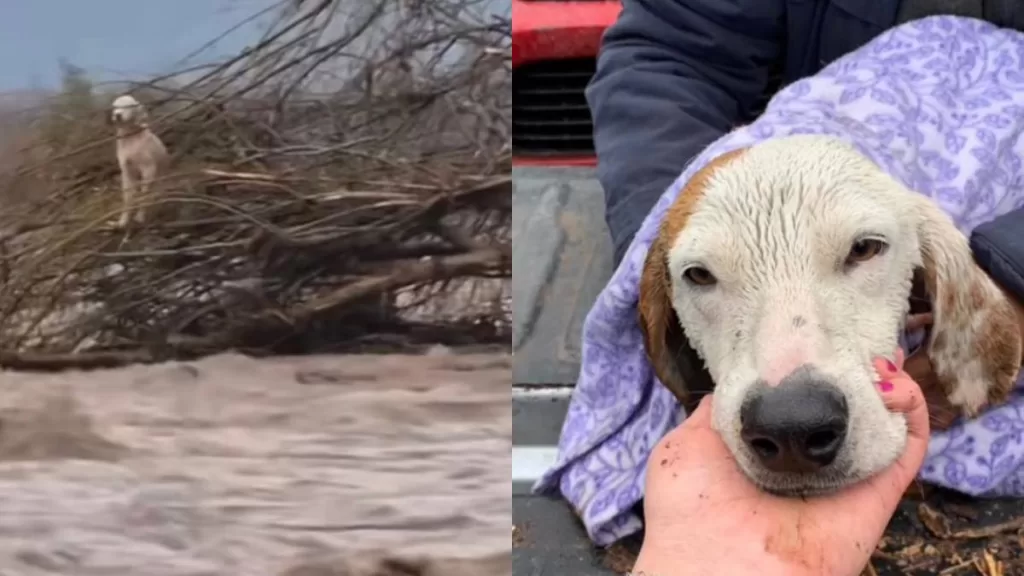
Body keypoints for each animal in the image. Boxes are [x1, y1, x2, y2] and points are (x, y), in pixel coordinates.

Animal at [110, 93, 167, 226]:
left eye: (129, 106)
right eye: (115, 107)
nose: (118, 115)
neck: (131, 138)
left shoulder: (148, 169)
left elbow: (143, 196)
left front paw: (140, 217)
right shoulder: (126, 171)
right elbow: (127, 198)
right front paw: (123, 220)